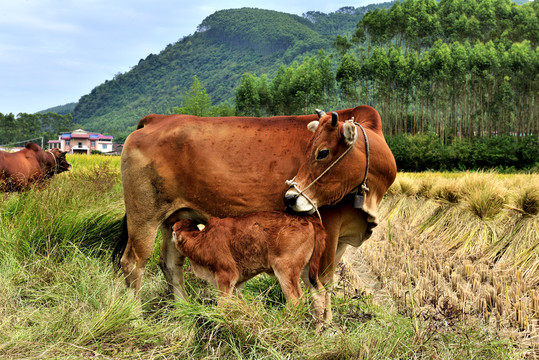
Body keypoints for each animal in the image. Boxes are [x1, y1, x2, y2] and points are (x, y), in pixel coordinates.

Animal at [171, 210, 326, 322]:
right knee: (319, 292)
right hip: (306, 270)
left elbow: (223, 305)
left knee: (295, 300)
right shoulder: (236, 284)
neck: (201, 239)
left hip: (285, 271)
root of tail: (307, 219)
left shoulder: (226, 277)